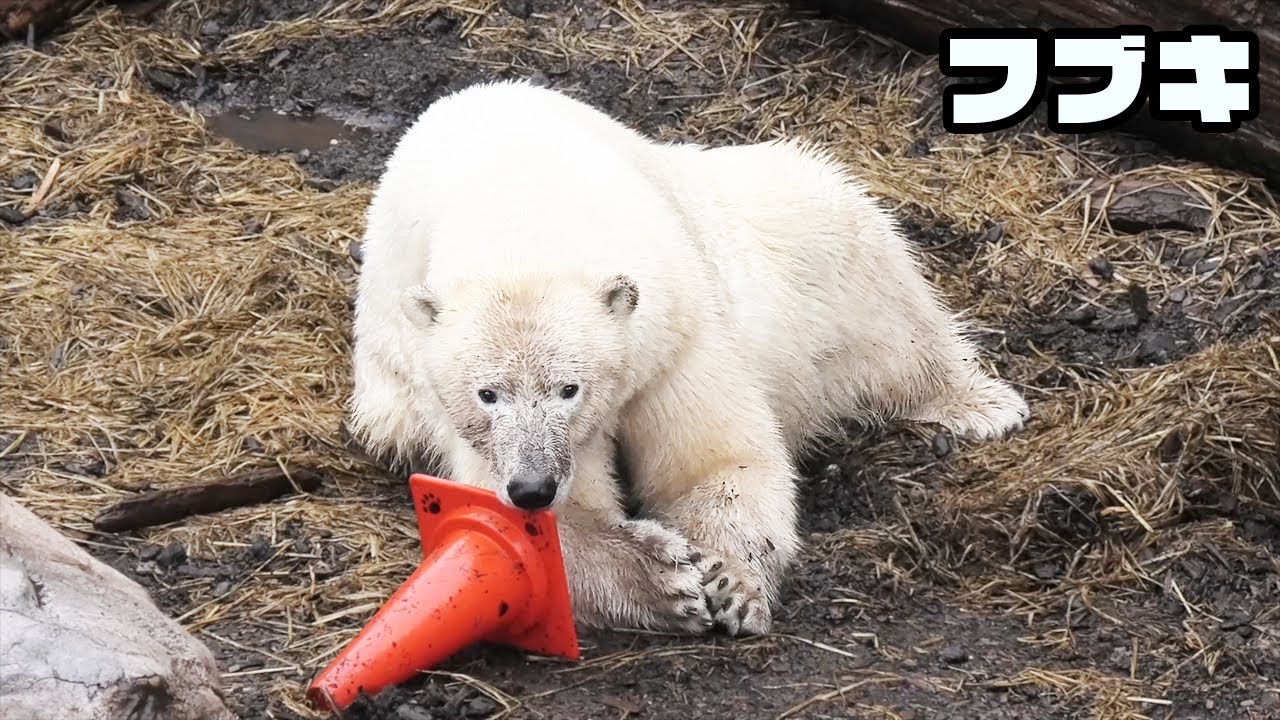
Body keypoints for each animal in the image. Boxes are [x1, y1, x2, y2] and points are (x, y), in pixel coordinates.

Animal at [347, 79, 1029, 637]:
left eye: (569, 388)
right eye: (488, 394)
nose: (534, 485)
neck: (520, 212)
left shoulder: (671, 329)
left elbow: (718, 457)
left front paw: (729, 583)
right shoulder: (453, 400)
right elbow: (521, 526)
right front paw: (662, 581)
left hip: (789, 224)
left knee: (884, 301)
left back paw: (979, 403)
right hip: (391, 396)